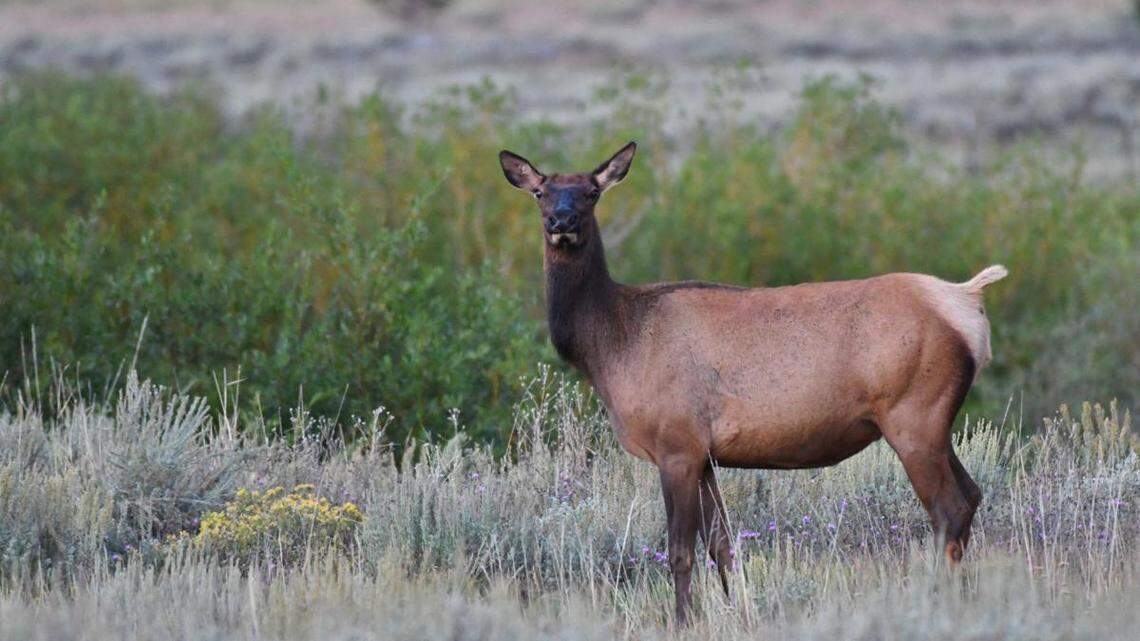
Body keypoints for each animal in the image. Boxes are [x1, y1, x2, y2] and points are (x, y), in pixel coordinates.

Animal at [498, 141, 1008, 624]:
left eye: (591, 192)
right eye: (541, 192)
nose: (562, 221)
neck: (611, 346)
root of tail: (967, 301)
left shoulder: (676, 442)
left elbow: (680, 552)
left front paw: (683, 621)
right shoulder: (704, 454)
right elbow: (722, 548)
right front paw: (737, 610)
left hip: (914, 413)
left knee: (948, 509)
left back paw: (940, 602)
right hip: (934, 422)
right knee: (972, 496)